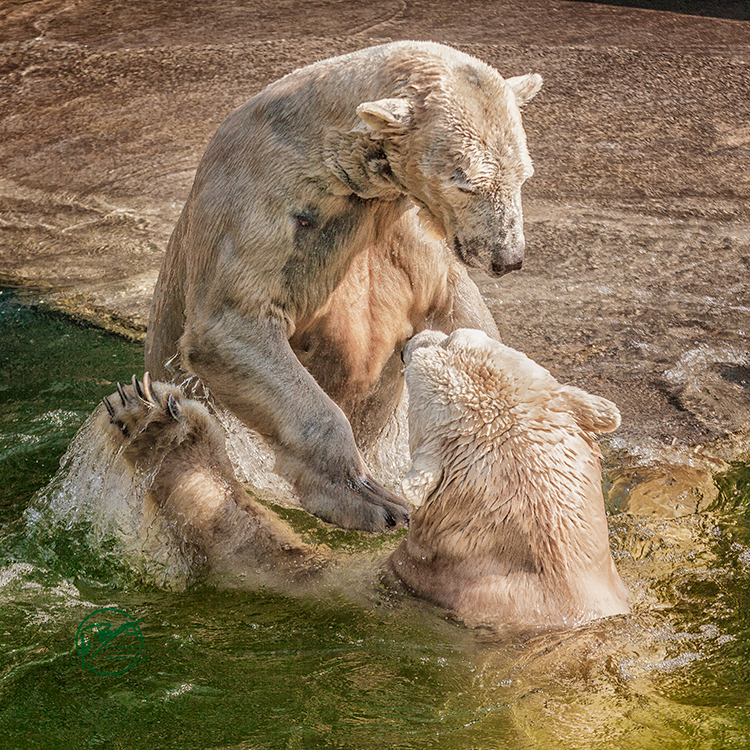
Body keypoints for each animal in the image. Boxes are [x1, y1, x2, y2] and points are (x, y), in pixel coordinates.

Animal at [145, 41, 548, 536]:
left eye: (524, 175)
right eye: (466, 181)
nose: (507, 257)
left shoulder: (408, 234)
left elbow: (458, 312)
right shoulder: (262, 204)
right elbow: (233, 324)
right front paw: (371, 499)